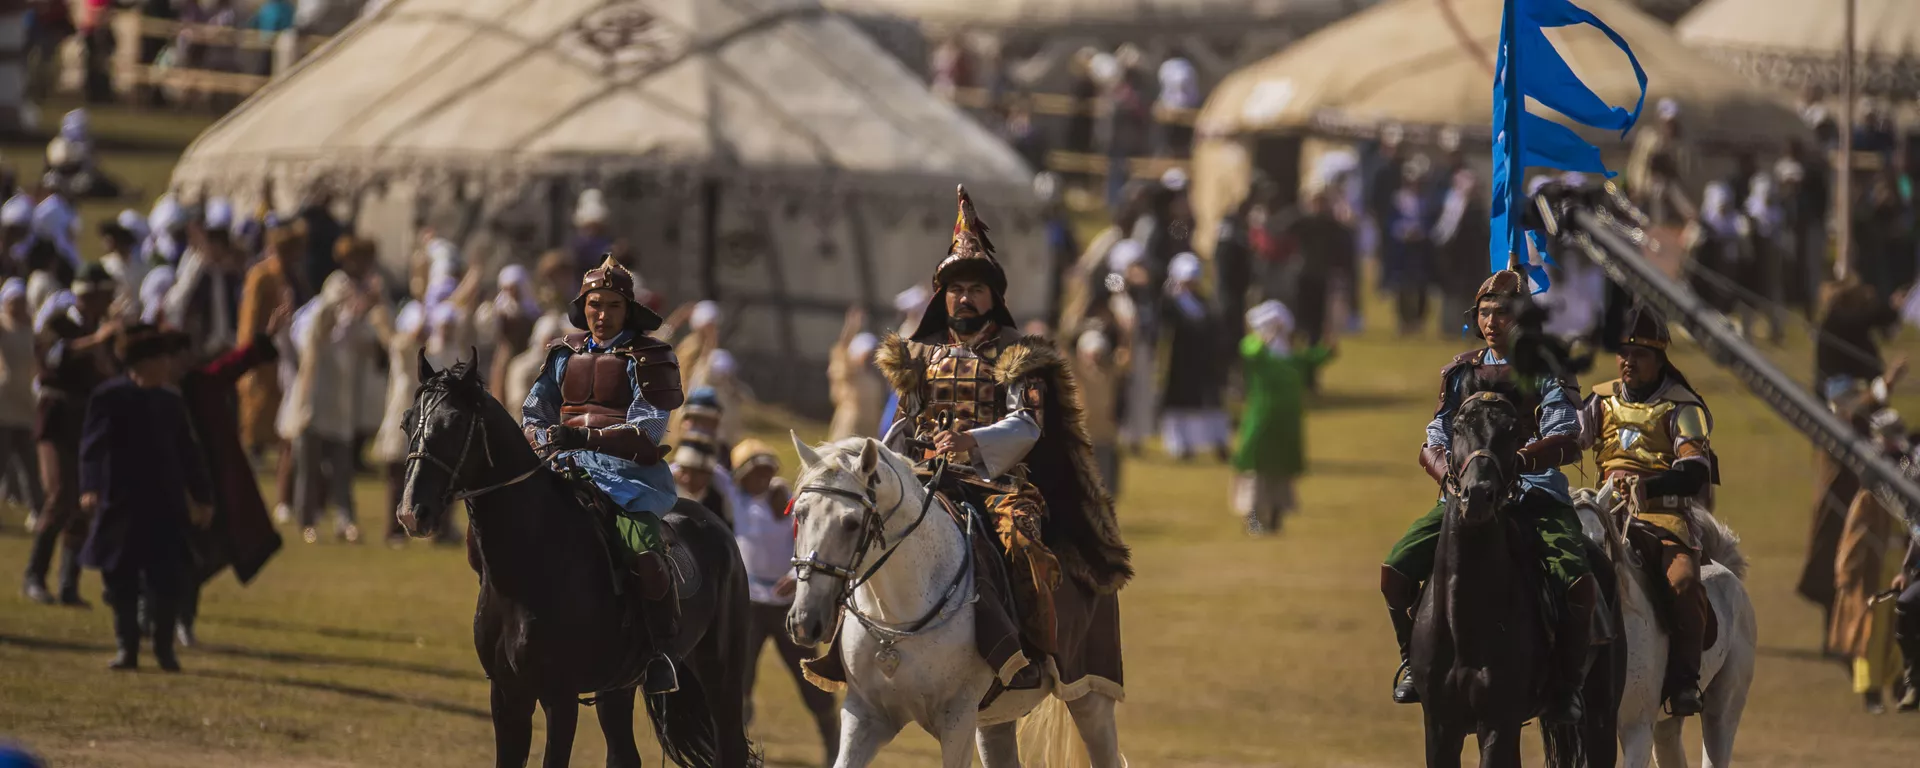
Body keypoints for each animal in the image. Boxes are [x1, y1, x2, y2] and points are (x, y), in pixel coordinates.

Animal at [396, 354, 758, 768]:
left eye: (454, 422)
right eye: (407, 421)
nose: (411, 513)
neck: (530, 565)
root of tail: (718, 525)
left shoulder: (560, 697)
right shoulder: (508, 695)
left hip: (722, 677)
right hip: (619, 688)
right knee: (623, 754)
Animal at [783, 436, 1123, 768]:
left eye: (852, 523)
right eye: (799, 514)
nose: (804, 622)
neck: (898, 620)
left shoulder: (957, 719)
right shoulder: (865, 715)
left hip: (1091, 695)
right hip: (995, 721)